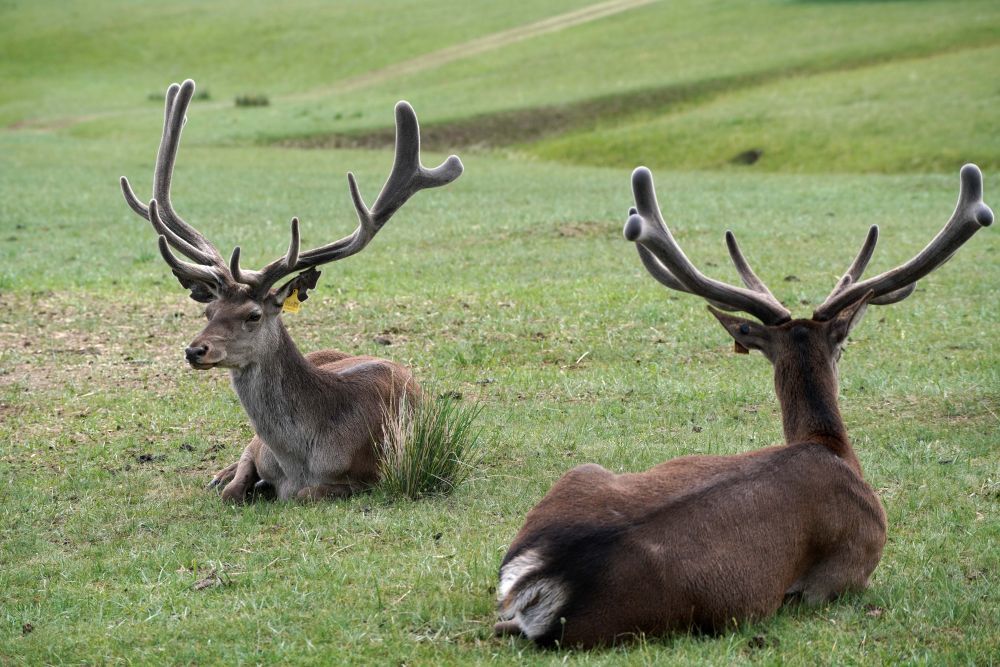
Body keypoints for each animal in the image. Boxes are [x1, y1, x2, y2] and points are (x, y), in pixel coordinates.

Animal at [119, 79, 462, 500]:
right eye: (208, 311)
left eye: (253, 315)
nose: (195, 350)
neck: (297, 461)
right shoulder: (256, 449)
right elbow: (234, 488)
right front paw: (231, 482)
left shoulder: (365, 477)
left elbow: (303, 495)